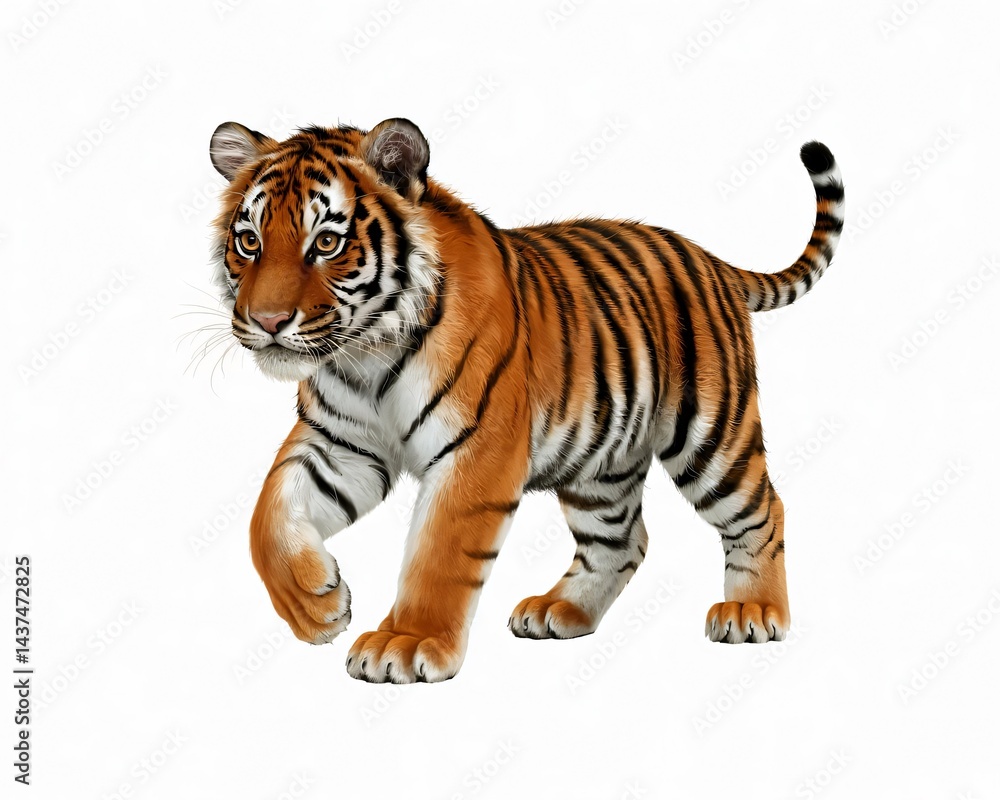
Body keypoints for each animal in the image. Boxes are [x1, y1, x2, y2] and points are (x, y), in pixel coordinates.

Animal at [208, 117, 843, 683]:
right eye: (249, 241)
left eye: (326, 243)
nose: (265, 322)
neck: (366, 353)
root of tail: (712, 260)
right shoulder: (342, 444)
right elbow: (267, 514)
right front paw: (315, 604)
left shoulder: (477, 451)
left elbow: (439, 553)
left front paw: (406, 644)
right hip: (601, 463)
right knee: (623, 541)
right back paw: (562, 611)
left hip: (710, 433)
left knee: (763, 509)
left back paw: (753, 611)